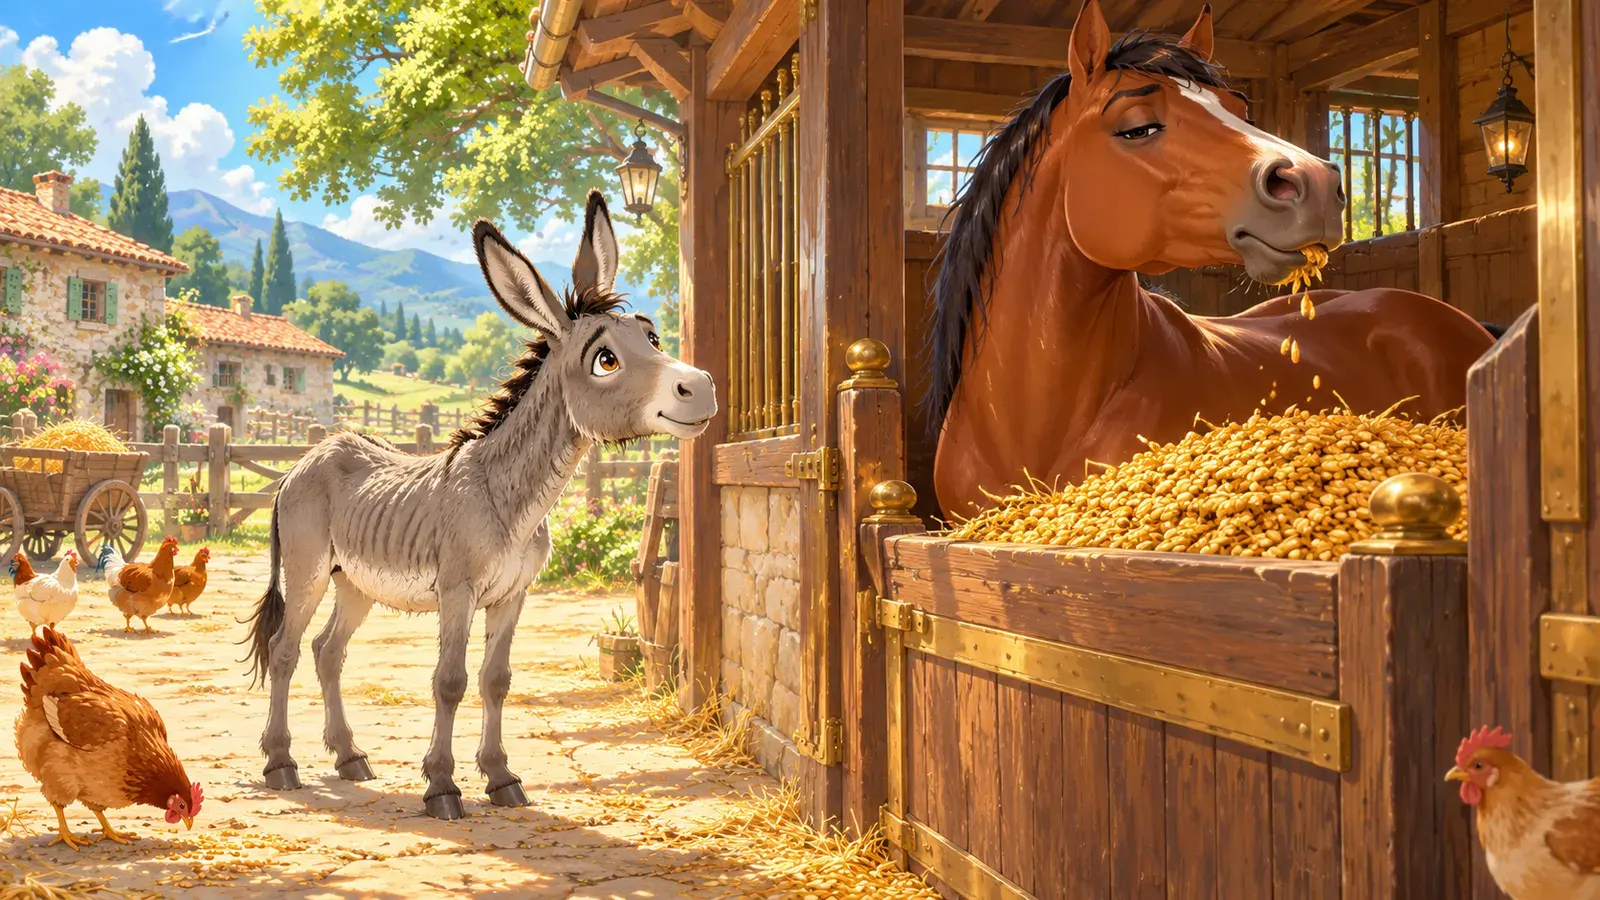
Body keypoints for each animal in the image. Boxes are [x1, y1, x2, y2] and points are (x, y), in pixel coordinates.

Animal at [242, 192, 718, 819]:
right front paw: (442, 788)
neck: (510, 498)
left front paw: (500, 778)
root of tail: (307, 458)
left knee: (327, 652)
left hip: (355, 582)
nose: (703, 387)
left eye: (653, 337)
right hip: (308, 570)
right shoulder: (458, 590)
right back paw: (281, 765)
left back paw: (349, 758)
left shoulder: (514, 594)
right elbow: (450, 680)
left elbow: (497, 680)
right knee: (285, 650)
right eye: (606, 360)